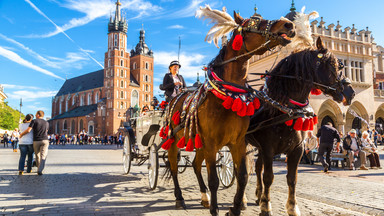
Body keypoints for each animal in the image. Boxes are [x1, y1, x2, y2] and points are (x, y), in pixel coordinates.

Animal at [158, 5, 296, 216]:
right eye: (253, 22)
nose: (288, 24)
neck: (228, 94)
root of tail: (177, 95)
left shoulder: (236, 142)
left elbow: (243, 176)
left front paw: (236, 208)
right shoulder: (211, 143)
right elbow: (214, 179)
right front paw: (216, 209)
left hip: (198, 143)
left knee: (196, 166)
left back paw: (204, 198)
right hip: (174, 139)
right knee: (173, 166)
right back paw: (180, 198)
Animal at [246, 37, 354, 216]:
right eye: (336, 65)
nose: (351, 93)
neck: (285, 108)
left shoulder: (297, 149)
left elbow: (292, 179)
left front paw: (292, 207)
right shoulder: (268, 148)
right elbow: (269, 177)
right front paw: (266, 206)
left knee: (257, 166)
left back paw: (258, 195)